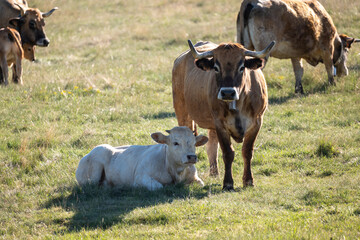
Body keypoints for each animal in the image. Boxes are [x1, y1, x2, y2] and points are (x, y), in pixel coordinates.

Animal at [76, 126, 208, 190]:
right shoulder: (140, 177)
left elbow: (201, 184)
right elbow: (159, 187)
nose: (192, 157)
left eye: (194, 143)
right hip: (95, 168)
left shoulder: (194, 177)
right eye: (176, 143)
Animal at [173, 39, 274, 189]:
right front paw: (228, 183)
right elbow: (227, 153)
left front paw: (248, 180)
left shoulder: (257, 122)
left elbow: (247, 151)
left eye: (242, 67)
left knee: (211, 146)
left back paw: (214, 172)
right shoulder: (220, 124)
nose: (227, 92)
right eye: (216, 67)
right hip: (183, 113)